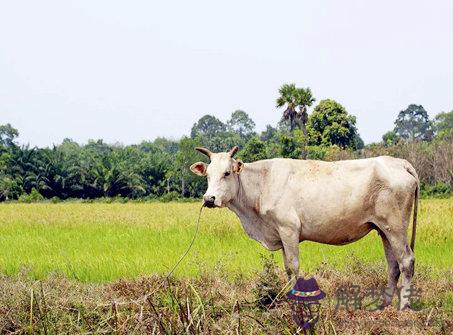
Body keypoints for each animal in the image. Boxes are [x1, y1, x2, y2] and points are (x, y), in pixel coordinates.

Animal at [189, 147, 418, 310]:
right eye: (207, 175)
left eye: (227, 173)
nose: (209, 199)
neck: (261, 184)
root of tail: (399, 162)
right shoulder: (280, 235)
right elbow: (287, 268)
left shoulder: (289, 229)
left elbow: (293, 266)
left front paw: (297, 301)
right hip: (383, 229)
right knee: (393, 265)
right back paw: (384, 304)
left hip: (396, 228)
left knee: (406, 261)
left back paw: (403, 306)